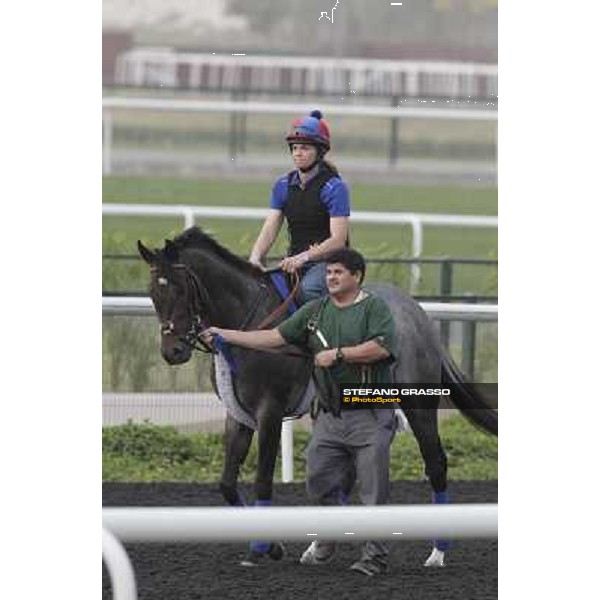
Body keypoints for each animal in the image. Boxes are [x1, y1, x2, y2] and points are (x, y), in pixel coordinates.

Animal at [137, 226, 496, 568]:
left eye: (180, 289)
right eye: (153, 292)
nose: (173, 352)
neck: (249, 326)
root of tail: (416, 311)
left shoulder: (269, 412)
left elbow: (263, 480)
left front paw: (262, 548)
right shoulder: (237, 415)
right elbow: (227, 483)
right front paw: (273, 546)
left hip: (418, 404)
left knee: (435, 463)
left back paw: (438, 552)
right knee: (349, 473)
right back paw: (320, 547)